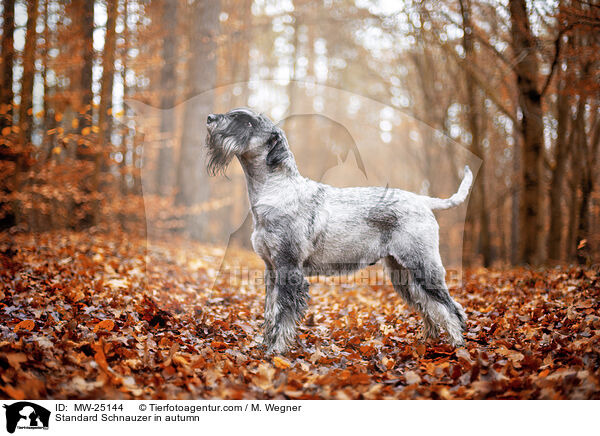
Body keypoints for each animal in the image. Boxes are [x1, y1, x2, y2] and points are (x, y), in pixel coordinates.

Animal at [206, 106, 474, 354]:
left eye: (247, 122)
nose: (210, 118)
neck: (276, 189)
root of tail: (422, 201)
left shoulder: (288, 269)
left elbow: (283, 315)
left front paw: (276, 351)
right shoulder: (271, 270)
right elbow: (270, 312)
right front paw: (265, 346)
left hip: (423, 266)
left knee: (451, 308)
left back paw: (457, 345)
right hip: (403, 274)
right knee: (428, 305)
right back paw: (429, 340)